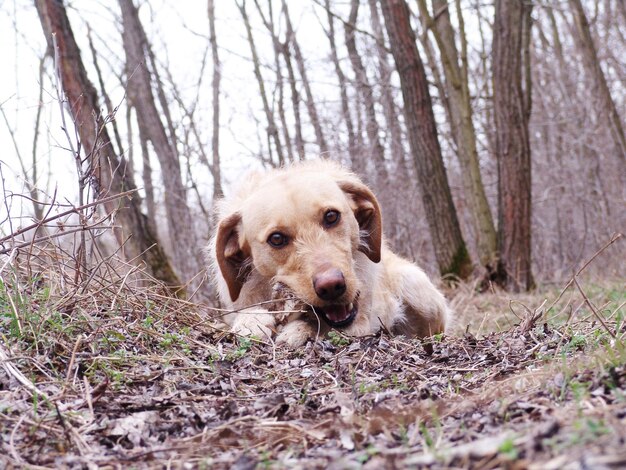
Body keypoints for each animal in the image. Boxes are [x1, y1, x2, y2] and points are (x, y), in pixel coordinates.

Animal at [210, 160, 448, 346]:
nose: (332, 286)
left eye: (331, 216)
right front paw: (251, 322)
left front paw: (299, 330)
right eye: (276, 239)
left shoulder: (360, 324)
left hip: (416, 288)